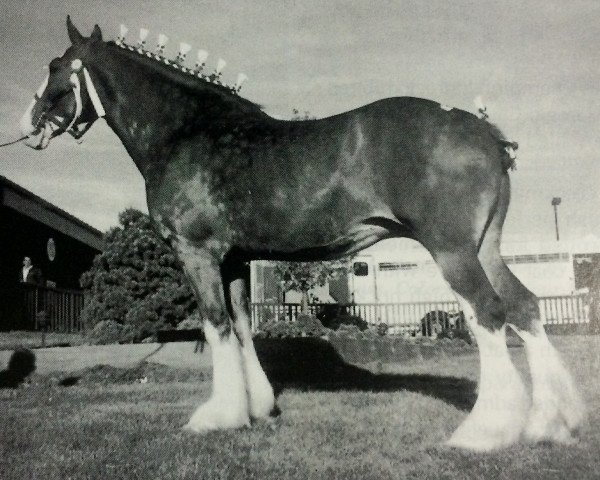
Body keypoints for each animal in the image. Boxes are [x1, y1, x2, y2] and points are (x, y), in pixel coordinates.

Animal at [18, 18, 580, 452]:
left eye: (54, 67)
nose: (31, 121)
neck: (187, 132)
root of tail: (487, 133)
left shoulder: (198, 254)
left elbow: (216, 326)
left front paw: (217, 417)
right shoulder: (236, 261)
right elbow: (243, 328)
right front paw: (258, 408)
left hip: (453, 251)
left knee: (488, 313)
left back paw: (484, 433)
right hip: (486, 249)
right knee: (525, 307)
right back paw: (552, 423)